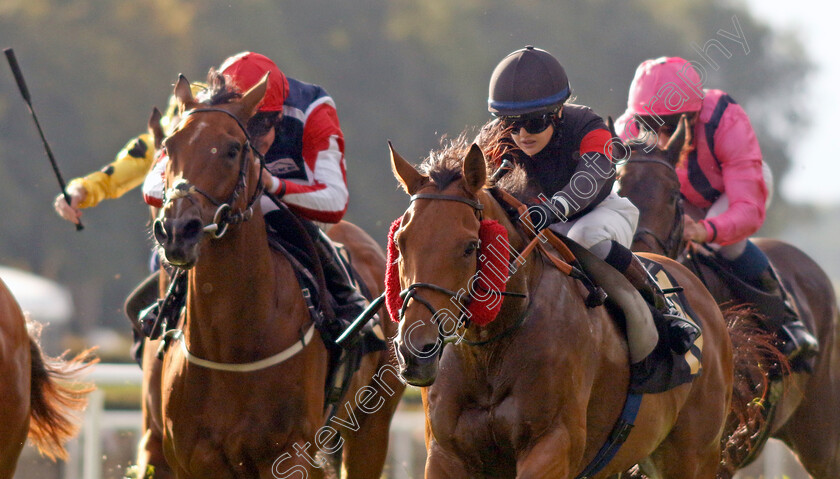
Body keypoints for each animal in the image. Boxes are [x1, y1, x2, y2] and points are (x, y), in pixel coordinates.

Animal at [135, 73, 404, 478]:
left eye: (233, 149)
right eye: (169, 146)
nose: (178, 229)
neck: (231, 348)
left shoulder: (290, 452)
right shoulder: (188, 455)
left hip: (372, 425)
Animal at [388, 137, 736, 478]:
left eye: (470, 247)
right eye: (401, 243)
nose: (415, 350)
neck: (490, 351)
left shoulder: (553, 443)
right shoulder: (445, 455)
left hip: (695, 455)